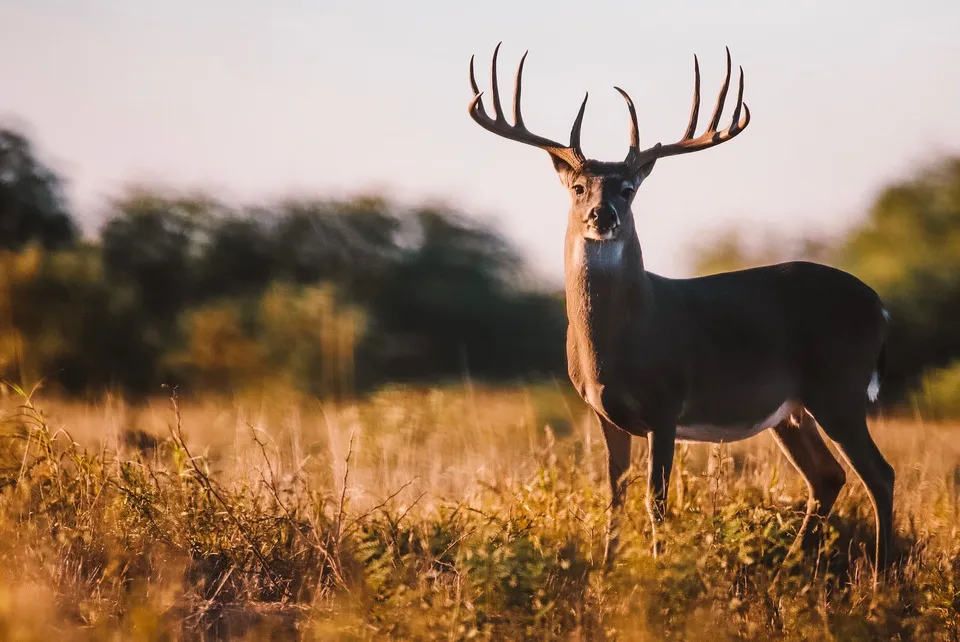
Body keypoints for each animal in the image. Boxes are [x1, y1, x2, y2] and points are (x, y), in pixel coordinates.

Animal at [466, 43, 895, 581]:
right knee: (828, 476)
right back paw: (786, 572)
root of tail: (879, 305)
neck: (616, 340)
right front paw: (605, 572)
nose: (602, 216)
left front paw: (657, 573)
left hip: (838, 386)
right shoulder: (603, 412)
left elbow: (657, 500)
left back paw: (882, 579)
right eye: (579, 187)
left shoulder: (665, 405)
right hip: (793, 409)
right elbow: (614, 494)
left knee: (879, 473)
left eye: (628, 188)